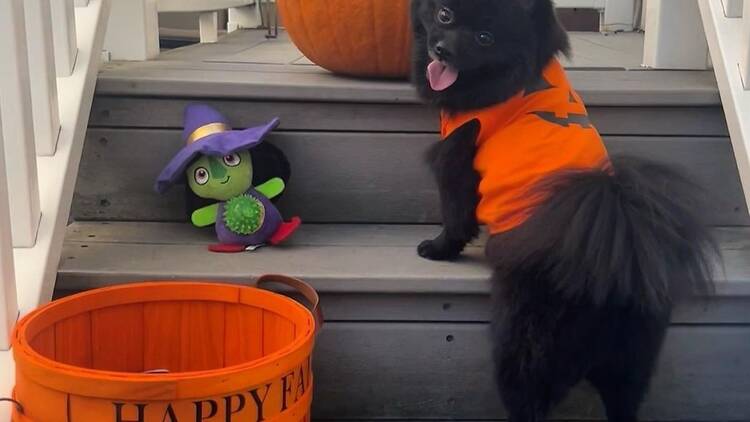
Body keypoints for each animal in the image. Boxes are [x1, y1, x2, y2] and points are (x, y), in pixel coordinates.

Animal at [414, 1, 720, 420]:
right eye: (444, 15)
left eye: (485, 38)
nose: (443, 50)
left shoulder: (457, 152)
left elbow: (456, 215)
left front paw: (438, 249)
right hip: (630, 363)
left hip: (525, 349)